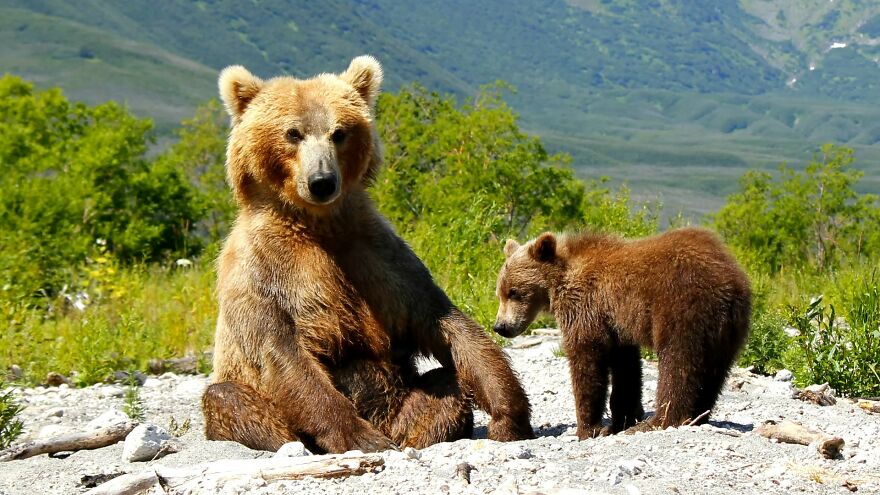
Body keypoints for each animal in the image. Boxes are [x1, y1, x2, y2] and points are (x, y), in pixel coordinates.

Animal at [201, 56, 534, 454]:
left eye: (339, 132)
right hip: (254, 399)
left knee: (445, 387)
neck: (319, 223)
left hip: (404, 401)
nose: (322, 181)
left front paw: (510, 415)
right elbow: (283, 351)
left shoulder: (378, 257)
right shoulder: (263, 270)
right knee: (228, 398)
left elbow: (445, 323)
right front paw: (362, 438)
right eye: (293, 133)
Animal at [492, 227, 750, 438]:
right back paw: (697, 415)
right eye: (500, 292)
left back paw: (658, 420)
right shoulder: (617, 323)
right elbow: (626, 368)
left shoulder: (586, 307)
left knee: (678, 365)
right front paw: (623, 418)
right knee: (714, 372)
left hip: (682, 308)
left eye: (514, 292)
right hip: (726, 330)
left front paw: (588, 427)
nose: (501, 327)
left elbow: (586, 358)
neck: (559, 281)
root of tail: (730, 282)